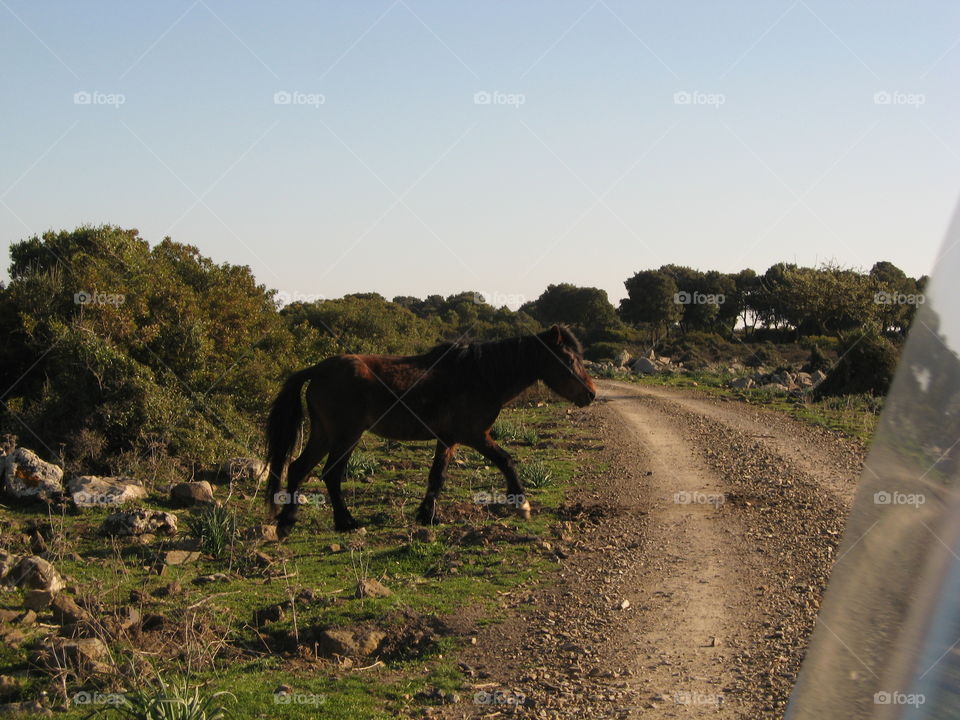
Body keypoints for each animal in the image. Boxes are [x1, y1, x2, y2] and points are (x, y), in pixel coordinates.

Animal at [265, 325, 596, 537]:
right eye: (568, 359)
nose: (590, 394)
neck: (481, 375)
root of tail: (318, 369)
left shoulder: (449, 440)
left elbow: (437, 477)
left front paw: (427, 516)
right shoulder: (474, 435)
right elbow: (506, 460)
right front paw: (522, 504)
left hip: (324, 434)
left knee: (298, 469)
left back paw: (287, 522)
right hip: (346, 436)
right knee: (331, 474)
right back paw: (346, 522)